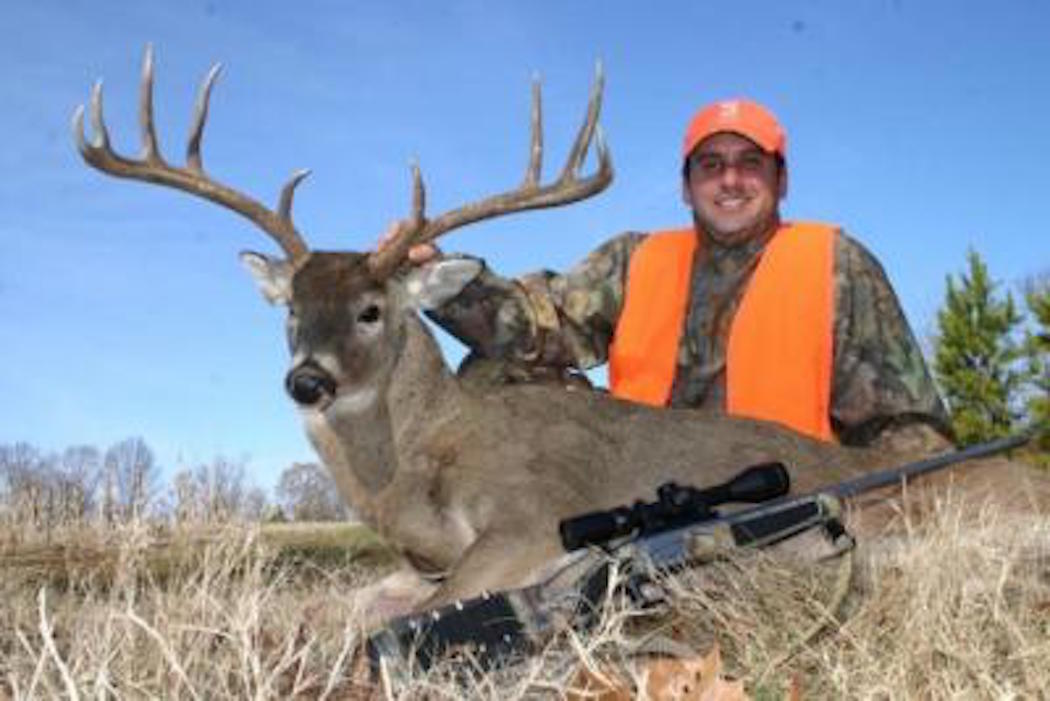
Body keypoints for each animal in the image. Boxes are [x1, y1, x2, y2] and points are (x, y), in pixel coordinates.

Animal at [71, 47, 1042, 620]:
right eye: (288, 309)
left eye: (373, 308)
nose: (307, 380)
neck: (418, 472)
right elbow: (344, 602)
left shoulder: (531, 517)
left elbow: (420, 606)